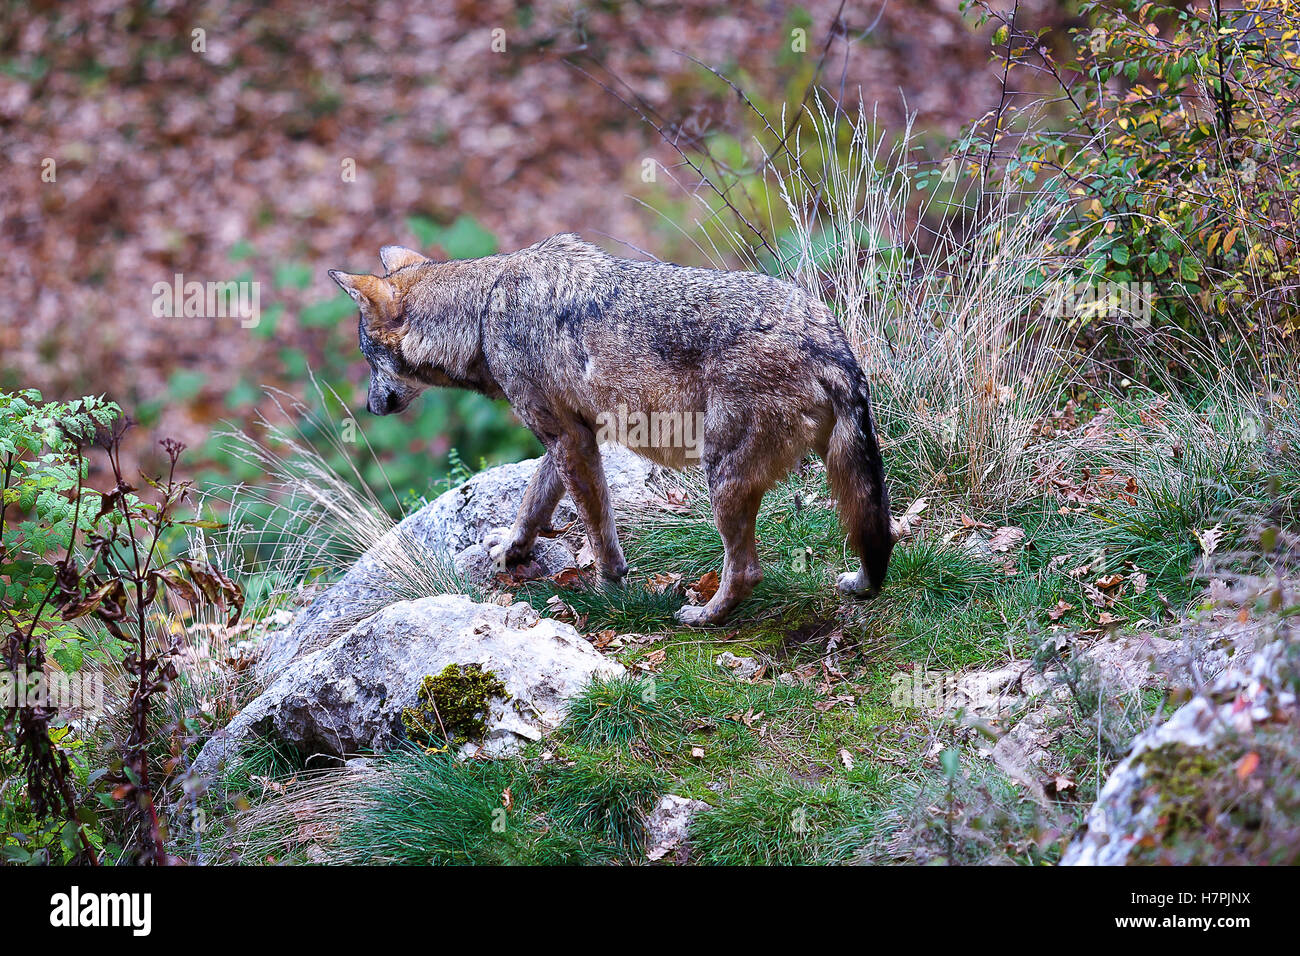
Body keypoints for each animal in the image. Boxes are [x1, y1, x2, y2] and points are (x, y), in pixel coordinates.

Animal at [330, 235, 889, 629]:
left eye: (367, 360)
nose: (369, 406)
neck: (485, 312)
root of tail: (827, 340)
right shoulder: (571, 435)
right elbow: (533, 503)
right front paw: (511, 550)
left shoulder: (570, 441)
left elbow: (599, 532)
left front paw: (608, 592)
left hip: (722, 477)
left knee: (748, 569)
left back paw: (704, 616)